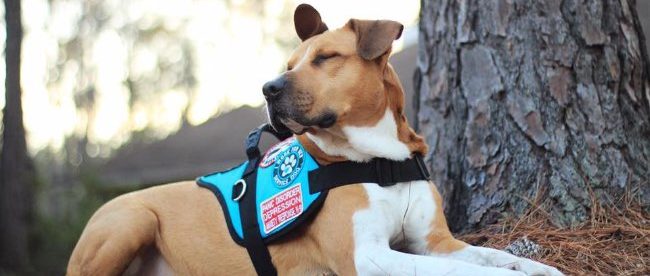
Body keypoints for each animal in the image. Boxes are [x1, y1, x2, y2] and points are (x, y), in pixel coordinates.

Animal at [67, 4, 560, 276]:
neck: (380, 161)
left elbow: (491, 257)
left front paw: (538, 267)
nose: (268, 88)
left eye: (326, 58)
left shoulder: (433, 239)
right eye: (288, 64)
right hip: (131, 221)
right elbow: (456, 271)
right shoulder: (368, 257)